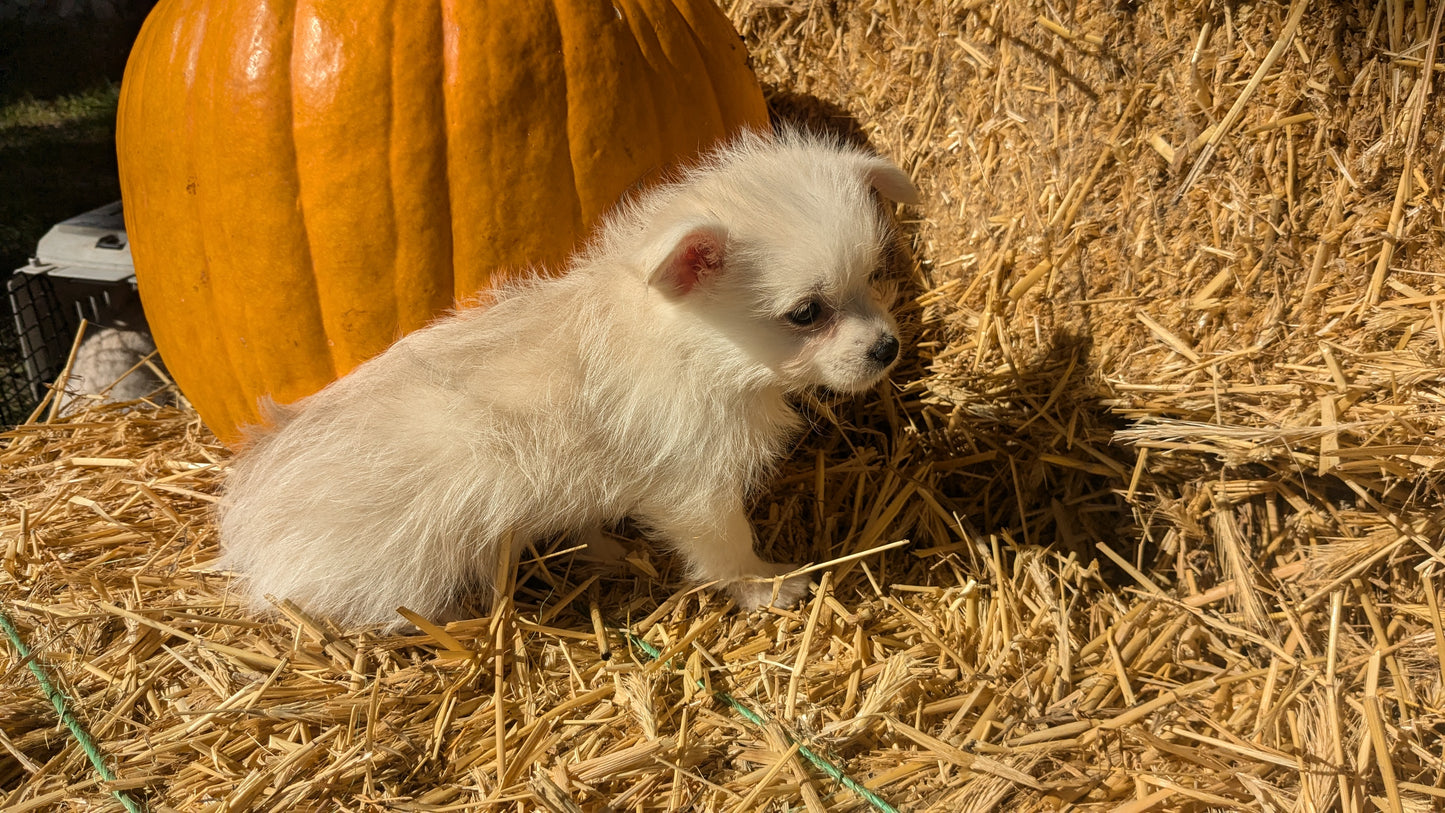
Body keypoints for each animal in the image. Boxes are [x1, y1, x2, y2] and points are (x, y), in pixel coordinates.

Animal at [216, 132, 913, 629]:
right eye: (806, 314)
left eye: (875, 274)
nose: (888, 348)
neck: (695, 347)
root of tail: (248, 534)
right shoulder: (695, 489)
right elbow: (725, 548)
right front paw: (768, 585)